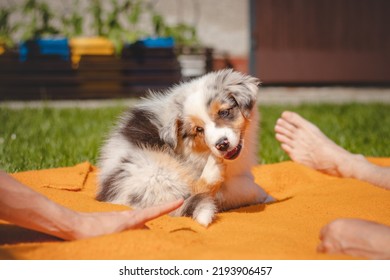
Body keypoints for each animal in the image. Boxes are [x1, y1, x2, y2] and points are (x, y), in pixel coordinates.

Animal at [96, 69, 272, 226]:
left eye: (224, 112)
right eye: (198, 129)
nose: (222, 144)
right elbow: (246, 187)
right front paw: (266, 196)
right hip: (158, 175)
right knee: (190, 194)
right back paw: (213, 171)